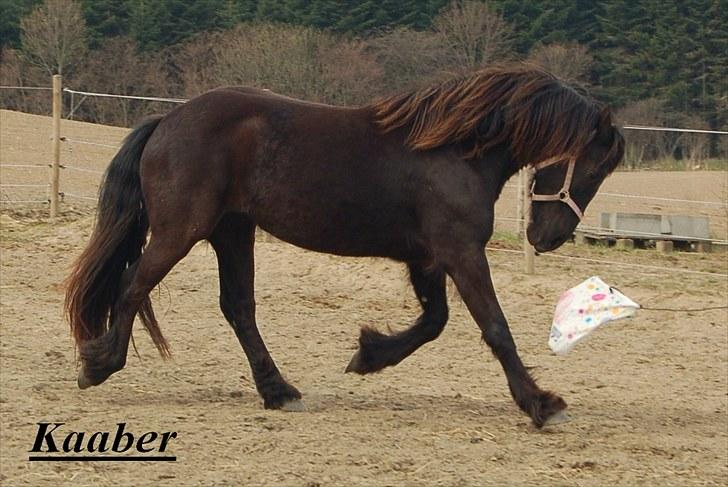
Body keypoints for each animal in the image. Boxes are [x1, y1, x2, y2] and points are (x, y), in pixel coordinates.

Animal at [68, 63, 624, 428]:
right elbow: (495, 328)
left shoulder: (427, 259)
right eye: (595, 166)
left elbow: (434, 322)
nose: (547, 238)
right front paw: (541, 403)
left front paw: (369, 354)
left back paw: (278, 391)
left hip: (232, 231)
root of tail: (166, 121)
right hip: (180, 231)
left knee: (238, 308)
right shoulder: (461, 253)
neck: (455, 151)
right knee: (132, 285)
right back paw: (98, 365)